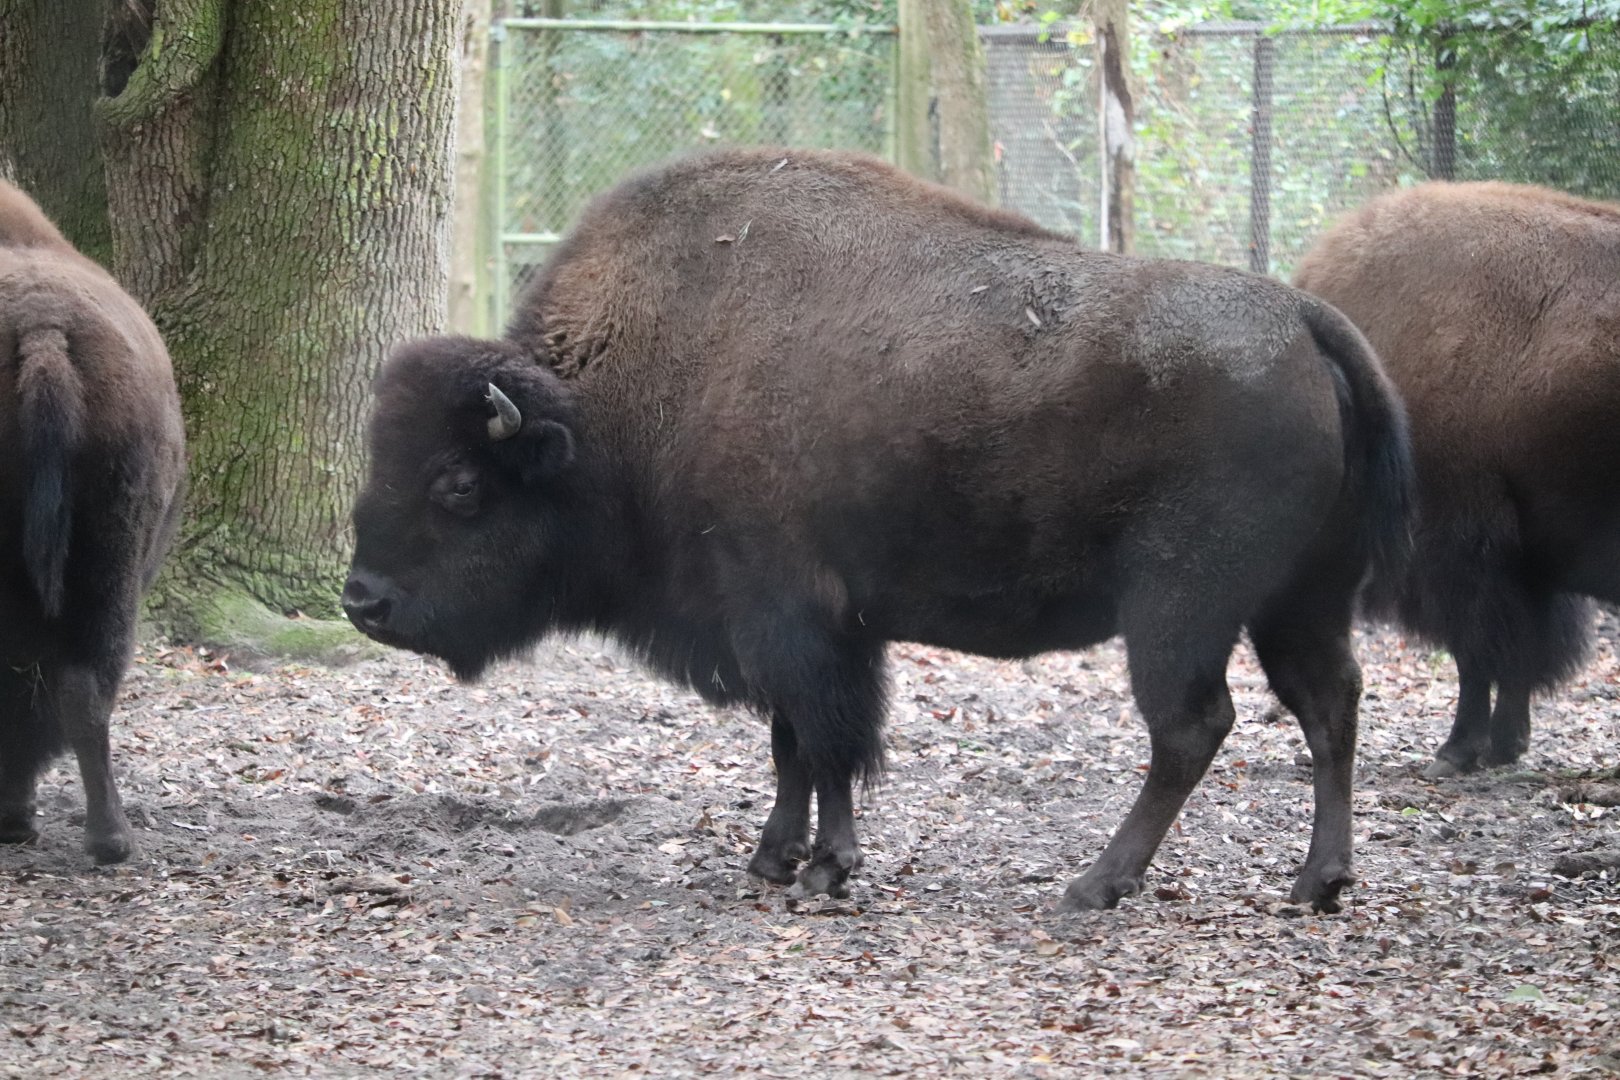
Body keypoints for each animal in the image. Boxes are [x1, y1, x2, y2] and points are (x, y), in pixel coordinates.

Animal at [344, 149, 1412, 911]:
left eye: (456, 485)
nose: (364, 602)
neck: (620, 402)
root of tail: (1305, 317)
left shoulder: (789, 618)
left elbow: (826, 740)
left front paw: (827, 867)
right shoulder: (802, 628)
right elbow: (794, 741)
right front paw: (776, 859)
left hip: (1180, 607)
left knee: (1192, 728)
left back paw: (1096, 884)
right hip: (1298, 601)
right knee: (1329, 706)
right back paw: (1318, 883)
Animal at [1295, 182, 1620, 777]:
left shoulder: (1461, 549)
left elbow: (1477, 655)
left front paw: (1456, 751)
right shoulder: (1521, 562)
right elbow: (1517, 654)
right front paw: (1505, 745)